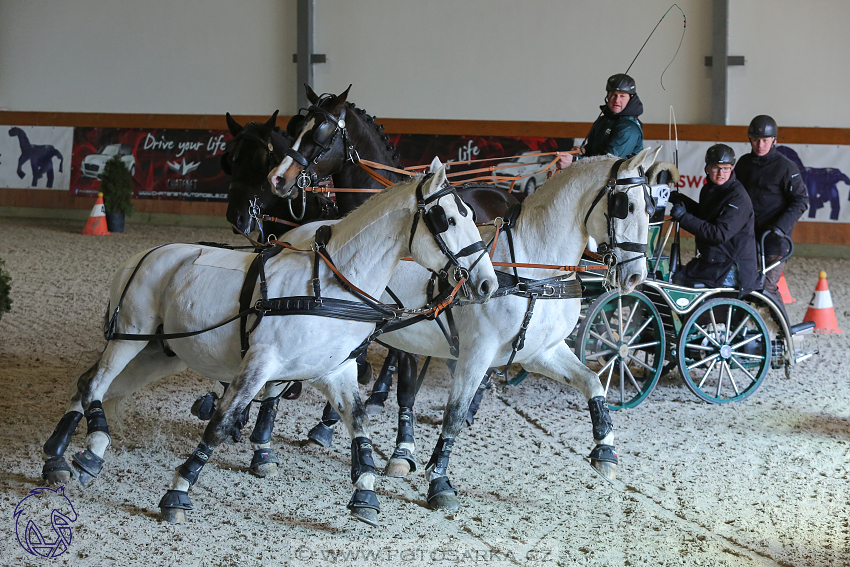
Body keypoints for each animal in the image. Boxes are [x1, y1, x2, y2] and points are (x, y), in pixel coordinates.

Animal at [41, 164, 496, 528]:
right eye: (447, 219)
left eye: (472, 216)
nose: (487, 283)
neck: (329, 287)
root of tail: (143, 254)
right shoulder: (260, 363)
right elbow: (221, 423)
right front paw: (179, 490)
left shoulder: (336, 371)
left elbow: (360, 426)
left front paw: (366, 491)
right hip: (128, 336)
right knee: (95, 384)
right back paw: (88, 448)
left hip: (159, 352)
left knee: (90, 385)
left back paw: (60, 458)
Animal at [374, 149, 672, 512]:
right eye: (624, 206)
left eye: (651, 207)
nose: (636, 276)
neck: (531, 270)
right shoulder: (477, 352)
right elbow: (454, 415)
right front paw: (439, 482)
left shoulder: (540, 352)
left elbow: (592, 381)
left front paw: (605, 450)